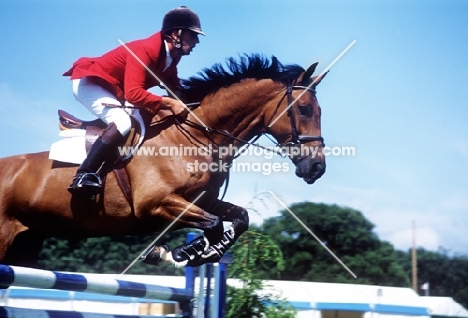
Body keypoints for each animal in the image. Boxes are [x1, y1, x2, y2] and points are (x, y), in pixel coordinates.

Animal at [0, 54, 326, 268]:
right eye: (305, 109)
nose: (317, 168)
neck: (195, 136)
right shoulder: (156, 204)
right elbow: (214, 224)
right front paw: (185, 253)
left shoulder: (204, 200)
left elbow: (238, 218)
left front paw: (190, 252)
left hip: (27, 242)